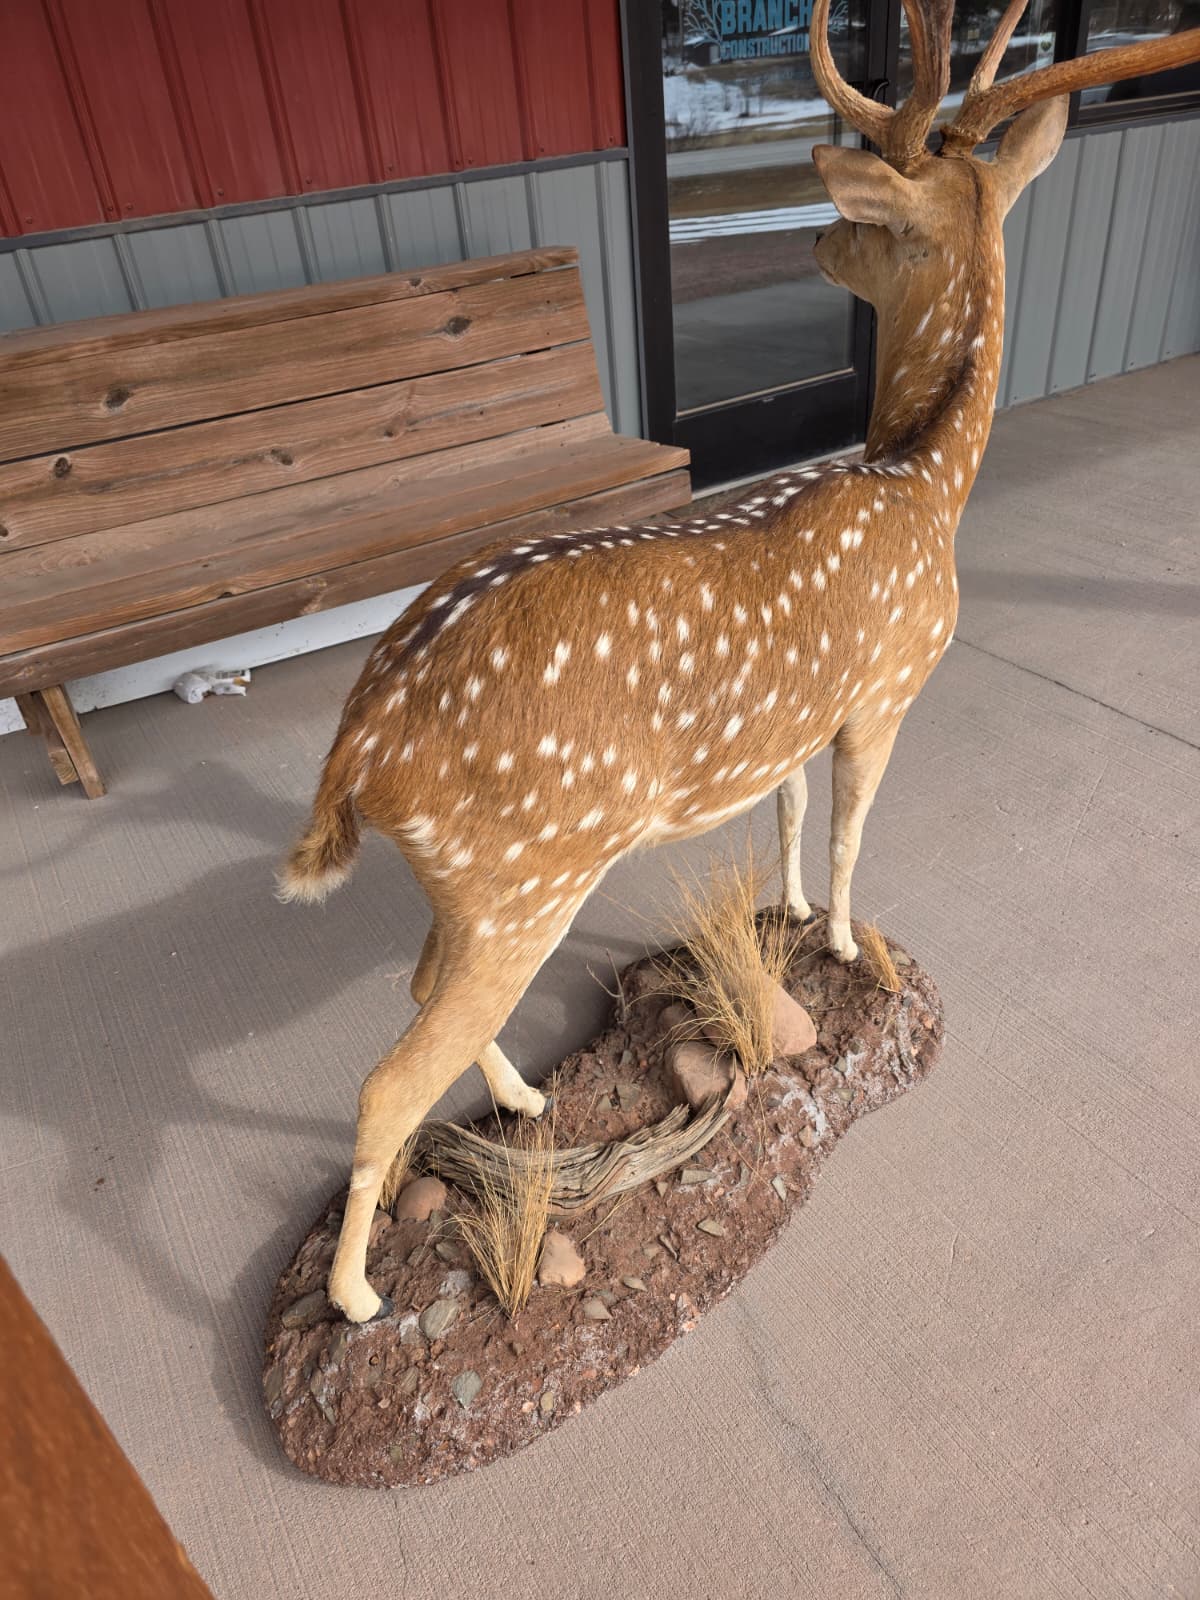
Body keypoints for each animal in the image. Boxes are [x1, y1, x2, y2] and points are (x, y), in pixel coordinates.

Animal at [280, 0, 1200, 1323]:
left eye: (874, 219)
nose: (816, 235)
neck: (924, 479)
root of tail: (359, 740)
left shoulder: (798, 716)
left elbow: (793, 809)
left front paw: (798, 911)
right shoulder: (885, 690)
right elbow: (858, 826)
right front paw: (849, 945)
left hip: (469, 886)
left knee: (419, 1000)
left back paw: (522, 1097)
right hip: (522, 873)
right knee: (388, 1077)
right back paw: (357, 1297)